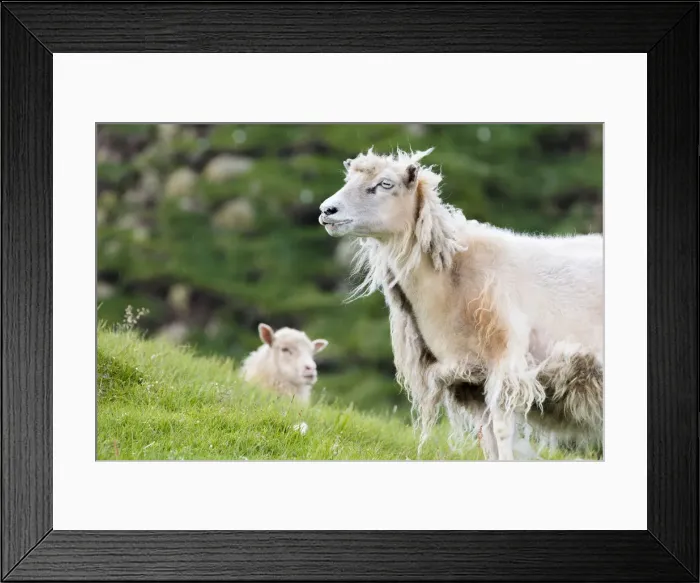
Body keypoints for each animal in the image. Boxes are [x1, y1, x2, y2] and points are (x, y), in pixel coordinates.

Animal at [319, 147, 603, 460]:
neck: (451, 278)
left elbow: (502, 432)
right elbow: (488, 439)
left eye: (385, 184)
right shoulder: (469, 379)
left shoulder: (505, 364)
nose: (326, 211)